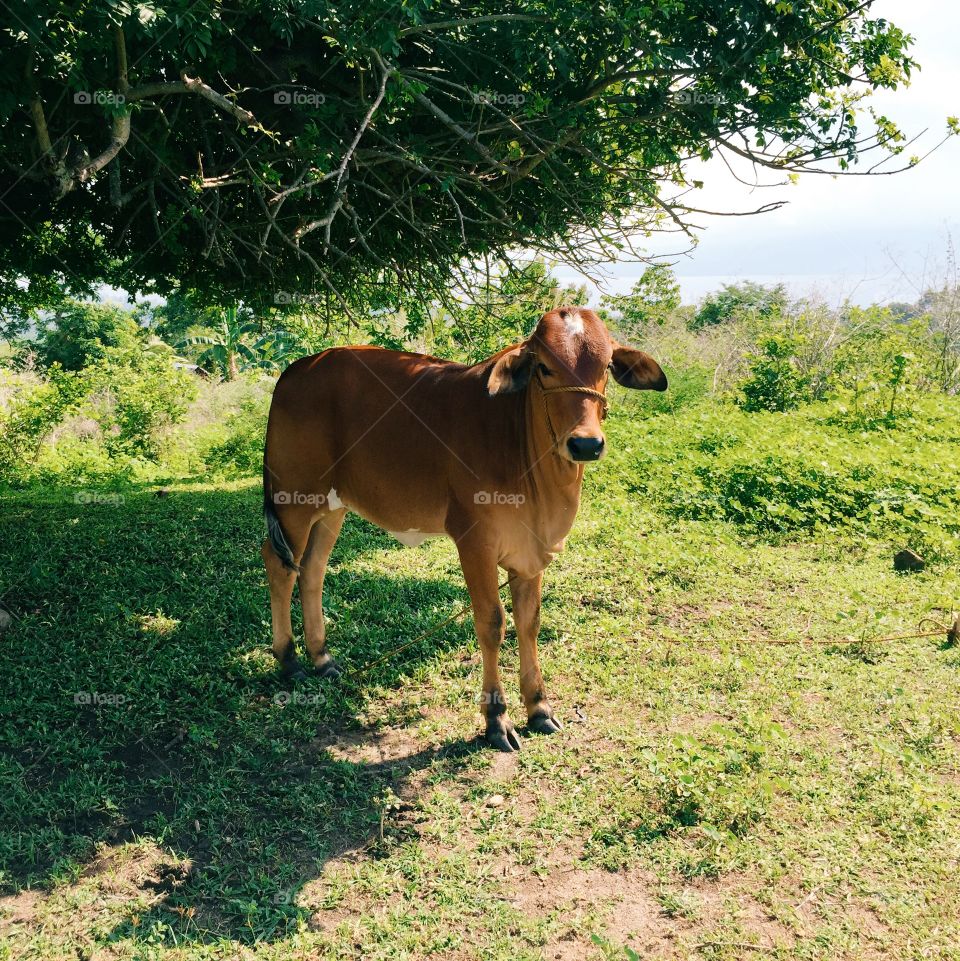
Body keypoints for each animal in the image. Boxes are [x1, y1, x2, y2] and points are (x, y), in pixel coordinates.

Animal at [262, 308, 668, 752]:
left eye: (607, 367)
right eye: (544, 367)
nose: (586, 445)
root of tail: (295, 369)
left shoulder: (530, 551)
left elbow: (529, 621)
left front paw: (539, 708)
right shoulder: (475, 542)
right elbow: (492, 624)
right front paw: (496, 719)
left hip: (332, 507)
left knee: (312, 571)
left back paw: (322, 657)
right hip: (294, 499)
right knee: (280, 566)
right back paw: (289, 659)